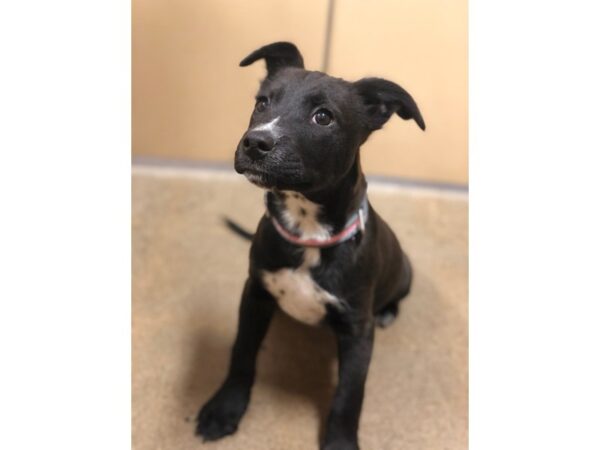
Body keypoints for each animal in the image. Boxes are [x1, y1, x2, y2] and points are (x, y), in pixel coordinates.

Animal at [195, 42, 424, 450]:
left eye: (324, 117)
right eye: (262, 102)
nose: (255, 142)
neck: (308, 231)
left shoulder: (357, 331)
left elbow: (350, 394)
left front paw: (340, 443)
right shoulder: (254, 295)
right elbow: (241, 352)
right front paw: (226, 408)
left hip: (405, 271)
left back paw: (388, 311)